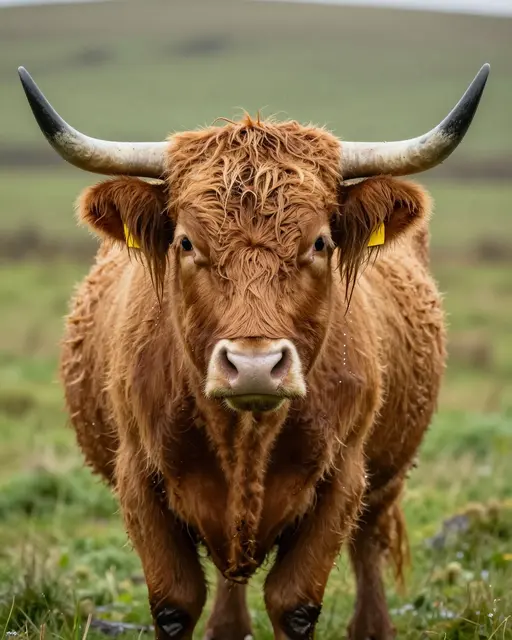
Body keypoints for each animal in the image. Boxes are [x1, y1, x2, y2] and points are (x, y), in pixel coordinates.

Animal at [18, 63, 489, 640]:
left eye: (319, 243)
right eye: (186, 242)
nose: (254, 367)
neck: (245, 435)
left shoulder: (342, 480)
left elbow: (295, 603)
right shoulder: (138, 479)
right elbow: (175, 604)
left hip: (387, 477)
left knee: (368, 547)